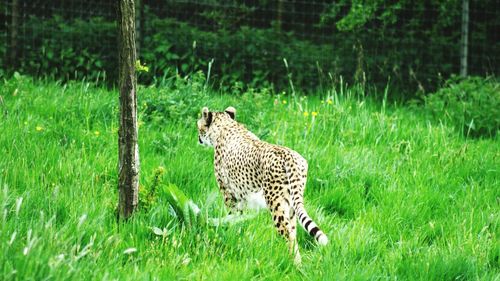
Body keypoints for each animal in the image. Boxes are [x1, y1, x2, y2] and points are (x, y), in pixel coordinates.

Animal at [195, 105, 328, 262]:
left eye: (199, 125)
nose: (198, 138)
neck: (225, 125)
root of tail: (290, 155)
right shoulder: (242, 197)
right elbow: (240, 219)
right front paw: (238, 234)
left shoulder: (228, 193)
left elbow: (232, 216)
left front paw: (230, 231)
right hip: (291, 205)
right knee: (293, 232)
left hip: (275, 202)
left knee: (287, 234)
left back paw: (294, 264)